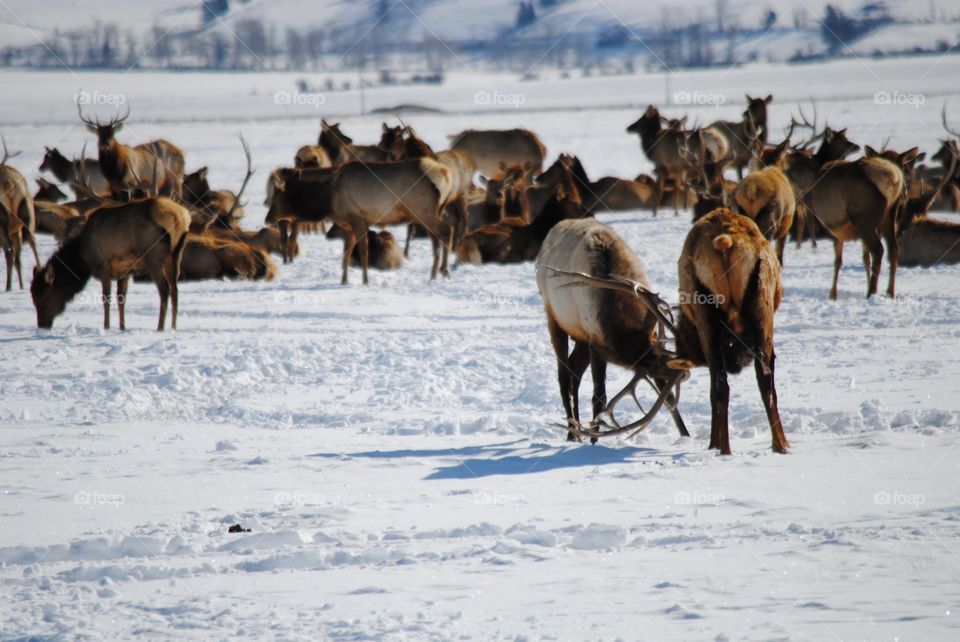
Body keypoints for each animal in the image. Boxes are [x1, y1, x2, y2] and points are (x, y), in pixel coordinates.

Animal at [0, 137, 40, 291]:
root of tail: (9, 183)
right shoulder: (16, 231)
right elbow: (18, 260)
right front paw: (21, 285)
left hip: (2, 220)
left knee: (9, 251)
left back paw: (8, 287)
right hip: (27, 209)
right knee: (32, 241)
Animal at [31, 196, 190, 331]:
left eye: (44, 298)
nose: (42, 325)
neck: (82, 257)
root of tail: (179, 216)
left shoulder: (103, 265)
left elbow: (106, 298)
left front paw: (106, 327)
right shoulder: (124, 271)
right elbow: (121, 298)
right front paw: (122, 328)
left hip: (153, 254)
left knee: (164, 289)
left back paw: (160, 328)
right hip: (176, 253)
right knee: (175, 289)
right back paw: (174, 326)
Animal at [534, 218, 690, 443]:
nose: (683, 372)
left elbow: (668, 399)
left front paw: (686, 435)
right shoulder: (596, 343)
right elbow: (599, 396)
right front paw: (594, 441)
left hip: (580, 336)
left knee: (574, 373)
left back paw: (576, 430)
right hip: (554, 318)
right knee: (564, 377)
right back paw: (572, 434)